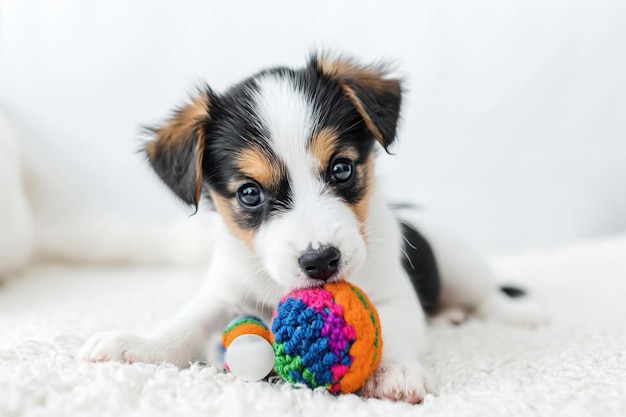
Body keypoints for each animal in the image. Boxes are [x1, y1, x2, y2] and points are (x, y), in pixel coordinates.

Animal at [80, 53, 544, 402]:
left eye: (341, 169)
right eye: (249, 193)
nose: (321, 261)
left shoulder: (396, 296)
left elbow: (392, 330)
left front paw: (396, 372)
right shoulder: (226, 291)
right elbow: (186, 322)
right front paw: (137, 346)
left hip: (459, 264)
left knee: (488, 297)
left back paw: (517, 314)